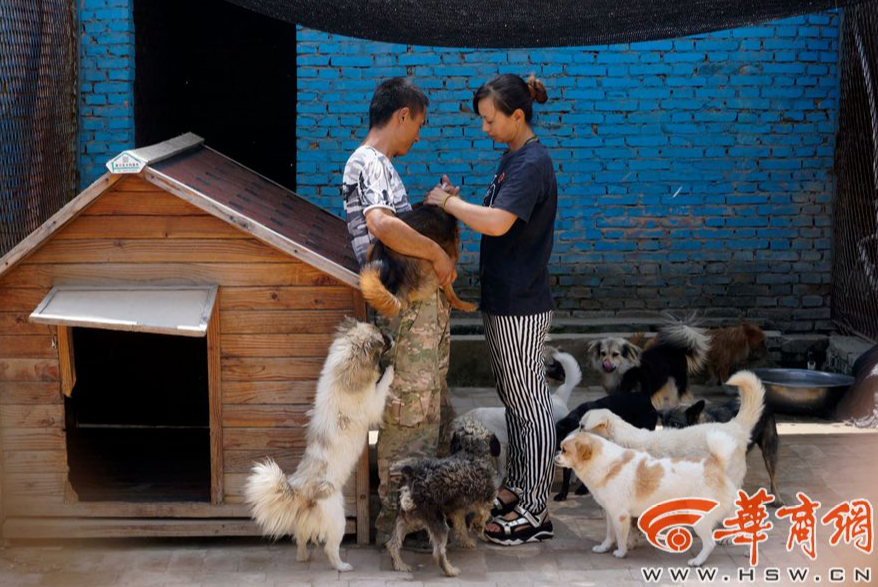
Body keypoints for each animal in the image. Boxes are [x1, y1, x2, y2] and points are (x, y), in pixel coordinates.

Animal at [244, 320, 396, 572]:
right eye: (382, 337)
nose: (393, 336)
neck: (343, 373)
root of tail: (299, 490)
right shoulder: (373, 404)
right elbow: (382, 385)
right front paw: (390, 371)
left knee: (301, 539)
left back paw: (304, 557)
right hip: (338, 520)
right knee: (330, 549)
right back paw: (342, 566)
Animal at [386, 418, 502, 580]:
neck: (471, 453)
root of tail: (412, 479)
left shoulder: (457, 510)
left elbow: (461, 527)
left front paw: (466, 541)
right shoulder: (485, 499)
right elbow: (483, 515)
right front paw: (478, 526)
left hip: (410, 520)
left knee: (393, 544)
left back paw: (400, 565)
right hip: (437, 523)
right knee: (438, 553)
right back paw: (450, 571)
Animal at [556, 430, 744, 568]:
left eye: (564, 450)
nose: (555, 455)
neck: (608, 465)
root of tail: (715, 464)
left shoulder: (620, 516)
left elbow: (621, 538)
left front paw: (621, 553)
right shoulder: (610, 513)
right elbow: (609, 535)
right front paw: (603, 548)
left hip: (699, 519)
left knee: (710, 543)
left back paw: (698, 561)